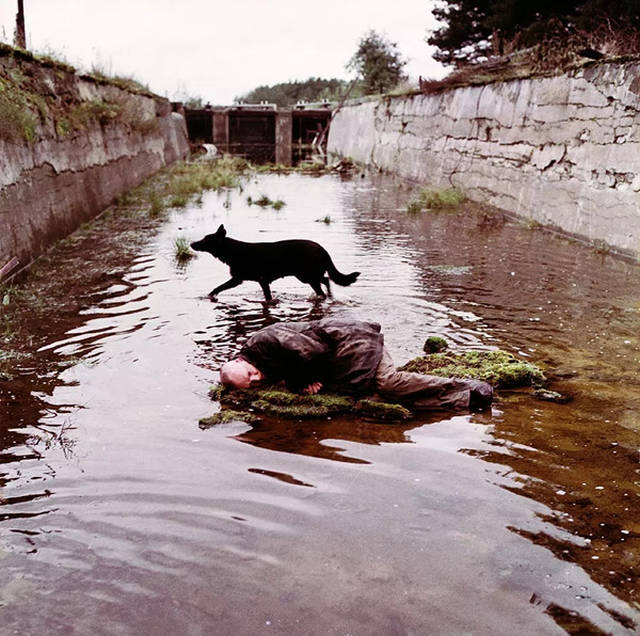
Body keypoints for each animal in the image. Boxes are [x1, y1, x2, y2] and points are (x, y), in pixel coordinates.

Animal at [190, 225, 360, 302]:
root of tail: (323, 250)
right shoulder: (244, 280)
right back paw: (330, 296)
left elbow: (219, 287)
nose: (191, 243)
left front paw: (210, 295)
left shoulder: (250, 280)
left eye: (205, 240)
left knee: (324, 283)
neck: (233, 251)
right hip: (307, 276)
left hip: (306, 276)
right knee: (326, 280)